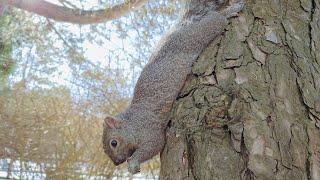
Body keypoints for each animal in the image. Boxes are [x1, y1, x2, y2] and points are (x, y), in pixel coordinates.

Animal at [104, 0, 244, 174]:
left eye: (113, 143)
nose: (117, 163)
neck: (132, 123)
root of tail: (179, 29)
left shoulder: (149, 131)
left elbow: (153, 146)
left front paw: (133, 162)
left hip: (194, 37)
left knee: (214, 20)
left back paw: (229, 12)